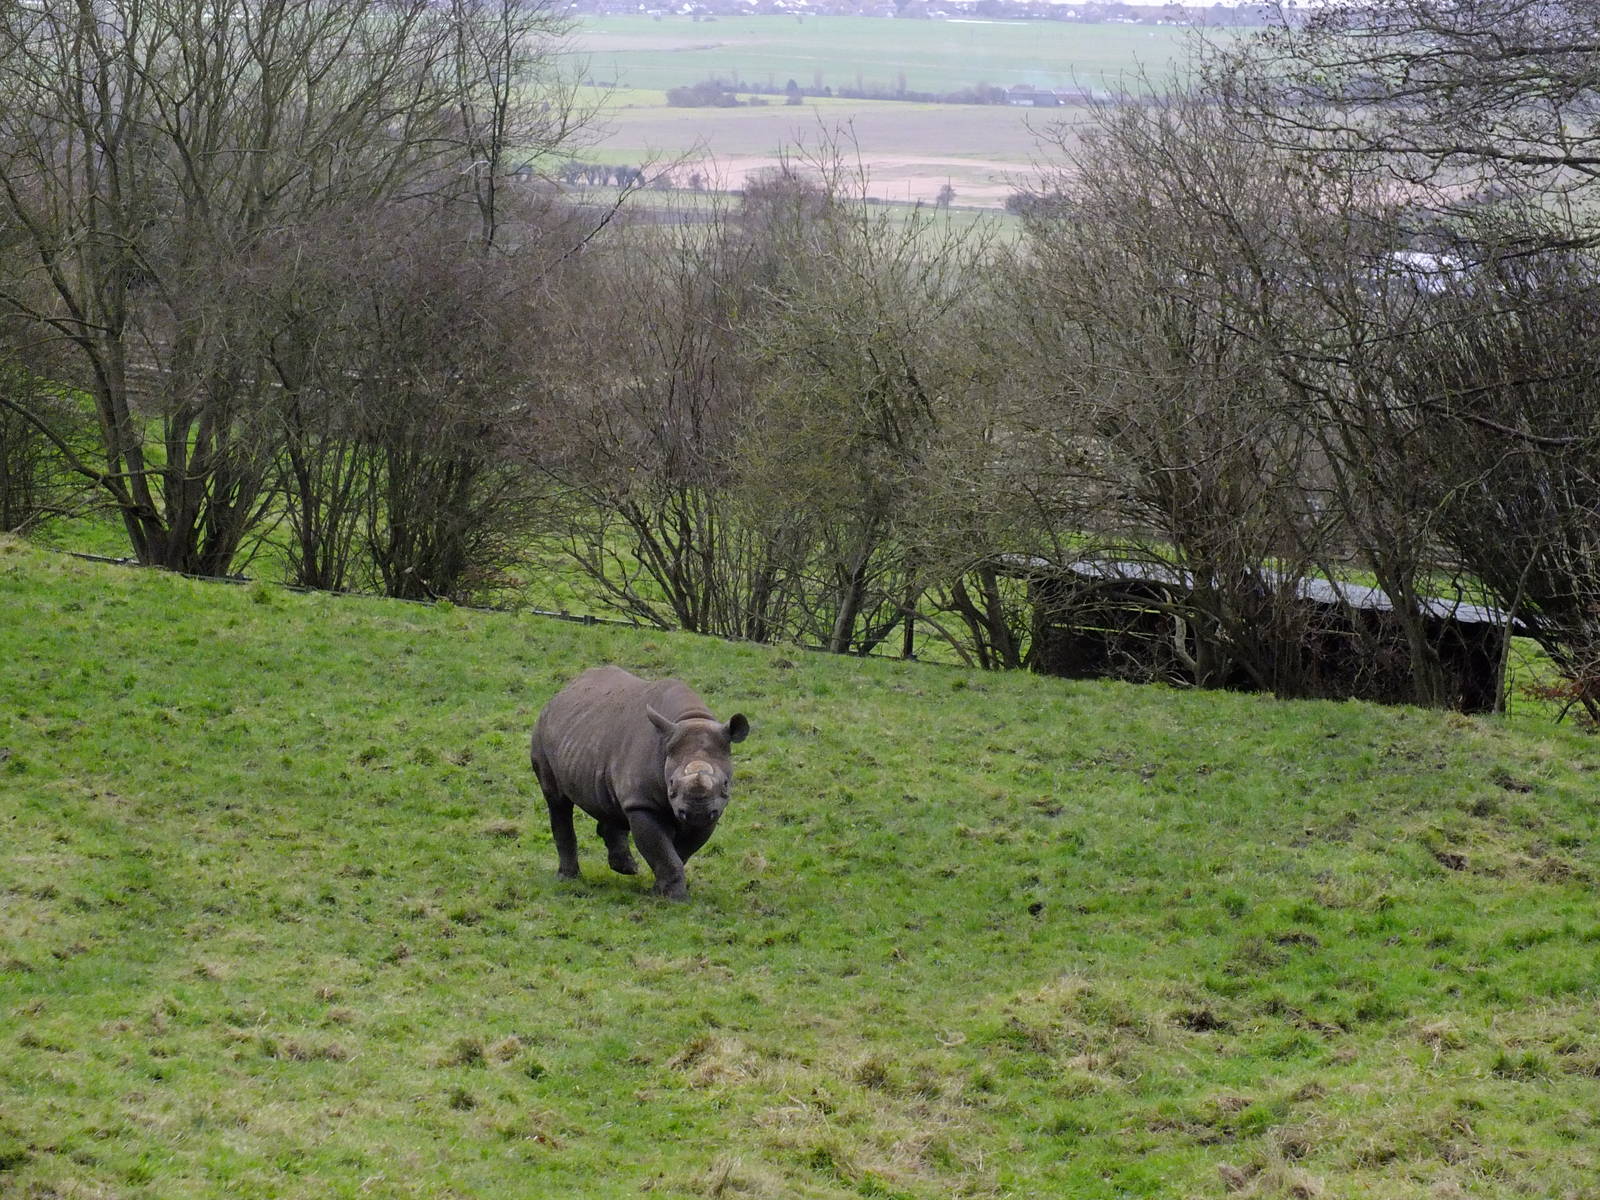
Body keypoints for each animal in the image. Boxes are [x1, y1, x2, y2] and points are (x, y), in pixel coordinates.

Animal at [530, 666, 749, 900]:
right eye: (671, 783)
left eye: (725, 783)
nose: (695, 812)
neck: (692, 719)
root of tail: (561, 692)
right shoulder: (643, 803)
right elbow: (662, 851)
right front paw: (675, 898)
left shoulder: (713, 811)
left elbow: (679, 853)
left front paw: (660, 891)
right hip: (543, 730)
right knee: (557, 801)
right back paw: (569, 879)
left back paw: (626, 868)